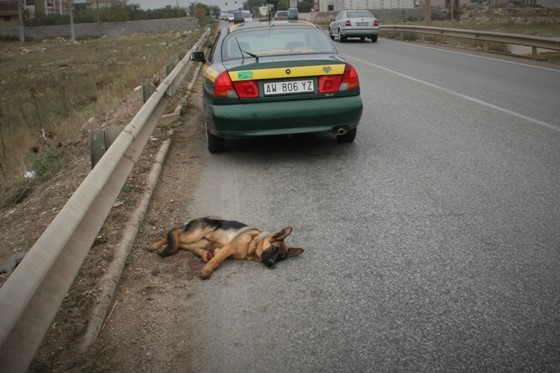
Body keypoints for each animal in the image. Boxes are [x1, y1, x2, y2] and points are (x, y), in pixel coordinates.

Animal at [151, 217, 304, 278]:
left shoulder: (221, 249)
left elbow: (215, 257)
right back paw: (158, 246)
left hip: (200, 242)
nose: (271, 264)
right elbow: (216, 260)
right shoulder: (228, 248)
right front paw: (207, 271)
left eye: (280, 258)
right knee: (174, 232)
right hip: (195, 235)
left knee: (180, 242)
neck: (253, 244)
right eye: (273, 249)